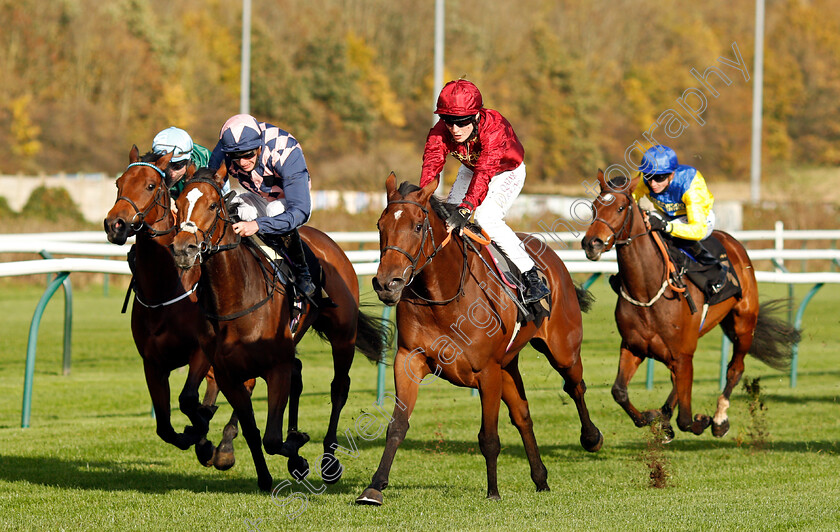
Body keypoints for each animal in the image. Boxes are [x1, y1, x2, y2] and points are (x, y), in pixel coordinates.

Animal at [103, 147, 253, 470]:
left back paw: (224, 446)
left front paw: (203, 434)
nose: (115, 224)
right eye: (119, 183)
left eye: (150, 185)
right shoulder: (152, 363)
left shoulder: (202, 349)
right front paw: (197, 437)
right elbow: (164, 426)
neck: (166, 287)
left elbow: (187, 400)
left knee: (244, 385)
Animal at [171, 169, 394, 490]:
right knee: (299, 375)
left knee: (338, 388)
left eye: (213, 205)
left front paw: (298, 453)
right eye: (177, 204)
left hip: (343, 336)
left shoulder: (276, 367)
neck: (236, 297)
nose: (183, 249)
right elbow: (252, 431)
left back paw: (329, 461)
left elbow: (272, 438)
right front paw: (263, 473)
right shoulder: (227, 373)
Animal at [354, 176, 604, 508]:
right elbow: (397, 425)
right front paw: (374, 488)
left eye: (418, 226)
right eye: (380, 225)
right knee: (523, 415)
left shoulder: (487, 371)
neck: (444, 296)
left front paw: (493, 491)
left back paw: (591, 438)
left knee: (575, 386)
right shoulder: (409, 358)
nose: (386, 283)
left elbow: (488, 436)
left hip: (562, 350)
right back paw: (540, 478)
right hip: (509, 365)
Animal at [580, 170, 796, 440]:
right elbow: (619, 391)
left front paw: (700, 421)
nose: (592, 243)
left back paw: (719, 419)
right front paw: (651, 417)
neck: (647, 289)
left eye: (620, 207)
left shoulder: (682, 353)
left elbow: (685, 419)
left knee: (735, 369)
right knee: (677, 383)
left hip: (744, 324)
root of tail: (733, 242)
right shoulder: (634, 346)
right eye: (593, 207)